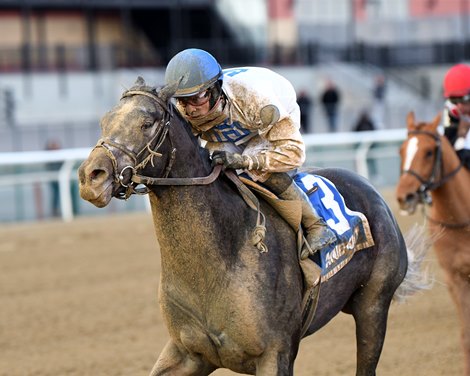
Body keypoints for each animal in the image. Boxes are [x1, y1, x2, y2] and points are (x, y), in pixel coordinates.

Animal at [79, 78, 432, 374]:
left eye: (147, 122)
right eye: (104, 121)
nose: (90, 177)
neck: (216, 263)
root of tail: (376, 195)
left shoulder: (275, 354)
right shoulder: (188, 353)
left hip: (373, 306)